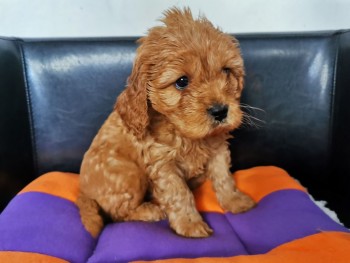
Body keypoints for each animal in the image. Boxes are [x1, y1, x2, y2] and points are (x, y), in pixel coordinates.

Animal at [78, 6, 254, 239]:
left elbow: (223, 176)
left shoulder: (218, 148)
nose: (220, 111)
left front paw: (235, 201)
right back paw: (151, 209)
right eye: (182, 82)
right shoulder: (162, 163)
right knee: (117, 214)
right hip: (129, 174)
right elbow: (179, 193)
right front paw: (190, 225)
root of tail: (83, 192)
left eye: (226, 71)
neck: (187, 135)